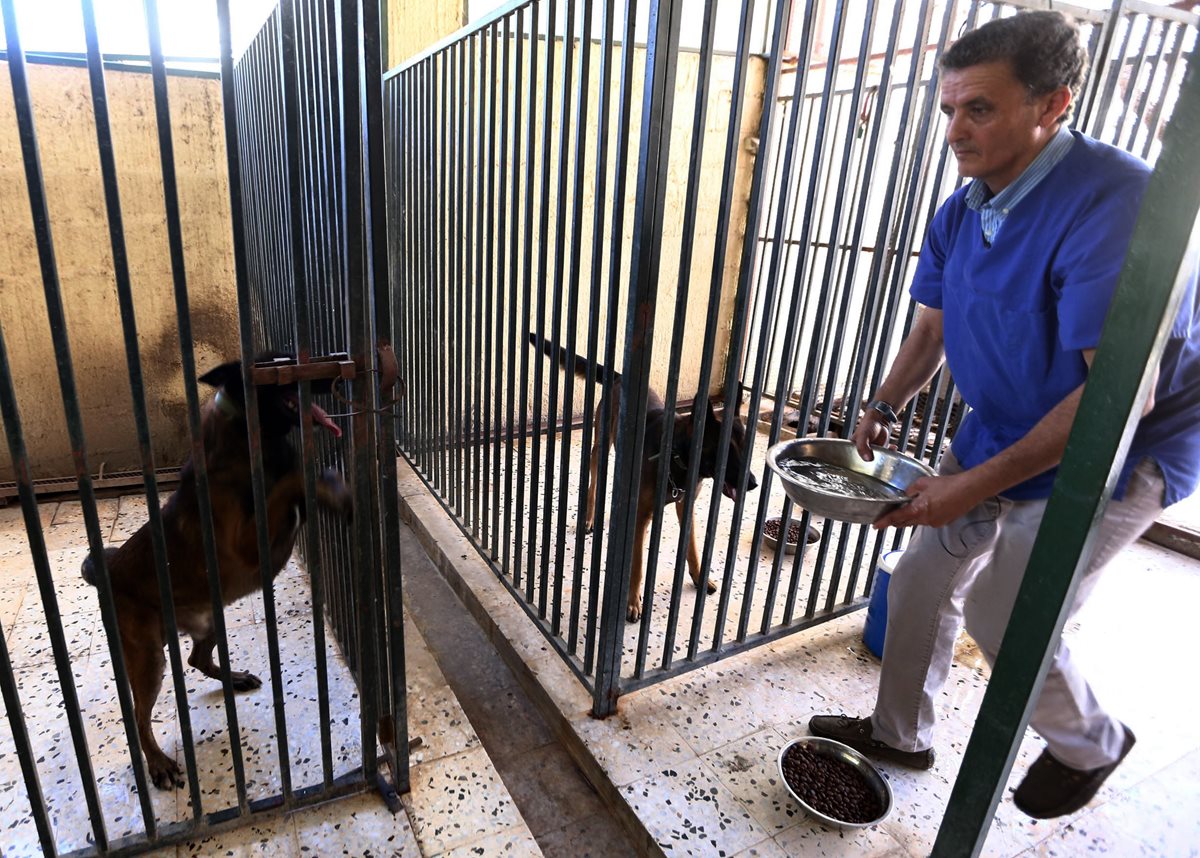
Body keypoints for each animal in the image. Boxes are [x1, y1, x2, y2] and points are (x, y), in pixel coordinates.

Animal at [81, 352, 348, 787]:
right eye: (282, 361)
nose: (336, 367)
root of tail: (108, 568)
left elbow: (297, 486)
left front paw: (331, 488)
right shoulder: (248, 545)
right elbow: (290, 481)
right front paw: (326, 483)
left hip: (210, 620)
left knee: (196, 659)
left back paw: (234, 678)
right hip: (148, 656)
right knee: (138, 716)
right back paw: (158, 763)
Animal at [535, 336, 758, 624]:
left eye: (746, 446)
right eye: (726, 451)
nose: (753, 483)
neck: (677, 452)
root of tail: (620, 378)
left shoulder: (685, 507)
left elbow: (692, 548)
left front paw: (699, 577)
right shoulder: (642, 517)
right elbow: (639, 565)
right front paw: (632, 603)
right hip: (600, 450)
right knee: (594, 484)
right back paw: (589, 517)